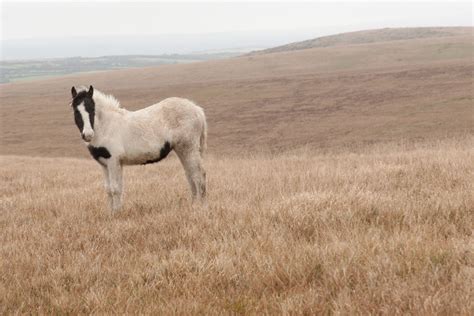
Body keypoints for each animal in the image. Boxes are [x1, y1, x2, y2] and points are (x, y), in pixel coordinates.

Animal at [69, 86, 206, 212]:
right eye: (76, 111)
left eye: (92, 109)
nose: (88, 135)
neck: (106, 126)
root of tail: (197, 109)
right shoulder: (105, 164)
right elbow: (109, 189)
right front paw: (111, 212)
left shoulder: (113, 161)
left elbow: (115, 189)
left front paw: (116, 214)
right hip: (182, 150)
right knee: (191, 175)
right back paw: (194, 204)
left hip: (189, 149)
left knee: (198, 175)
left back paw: (200, 206)